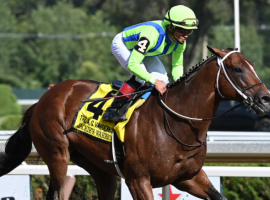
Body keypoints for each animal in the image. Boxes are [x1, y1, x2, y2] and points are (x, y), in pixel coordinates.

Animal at [0, 46, 270, 198]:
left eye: (253, 66)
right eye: (237, 69)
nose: (266, 99)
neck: (177, 123)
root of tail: (43, 99)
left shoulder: (188, 177)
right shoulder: (138, 180)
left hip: (100, 168)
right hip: (57, 154)